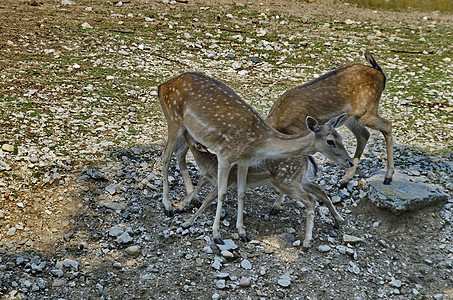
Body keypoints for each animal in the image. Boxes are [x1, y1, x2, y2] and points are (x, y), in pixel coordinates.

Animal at [159, 73, 354, 246]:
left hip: (185, 129)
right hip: (174, 120)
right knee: (165, 156)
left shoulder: (243, 161)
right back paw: (168, 206)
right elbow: (221, 193)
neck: (257, 145)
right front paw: (216, 235)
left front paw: (242, 232)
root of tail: (163, 86)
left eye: (341, 138)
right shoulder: (225, 155)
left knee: (179, 154)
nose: (350, 162)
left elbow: (241, 192)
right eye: (330, 141)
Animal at [266, 53, 394, 185]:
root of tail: (381, 73)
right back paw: (345, 180)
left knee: (387, 124)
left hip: (366, 111)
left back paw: (388, 177)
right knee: (364, 134)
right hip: (350, 117)